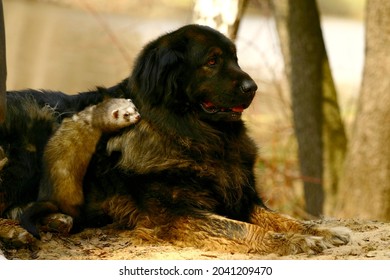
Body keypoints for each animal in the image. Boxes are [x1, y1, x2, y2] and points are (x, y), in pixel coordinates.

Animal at [0, 25, 348, 255]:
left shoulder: (241, 198)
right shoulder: (178, 214)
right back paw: (17, 235)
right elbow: (241, 228)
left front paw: (321, 230)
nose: (253, 88)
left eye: (235, 59)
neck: (189, 132)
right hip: (31, 144)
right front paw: (294, 242)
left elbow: (281, 218)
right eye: (212, 61)